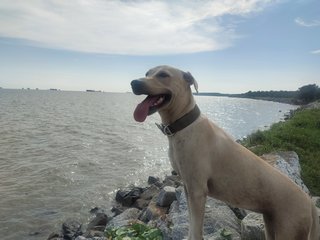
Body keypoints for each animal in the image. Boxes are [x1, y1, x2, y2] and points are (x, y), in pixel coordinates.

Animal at [131, 64, 320, 239]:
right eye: (147, 73)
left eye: (163, 75)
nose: (134, 83)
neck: (184, 125)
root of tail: (310, 203)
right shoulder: (187, 187)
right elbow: (191, 224)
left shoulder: (197, 191)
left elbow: (196, 229)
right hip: (271, 225)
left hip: (289, 229)